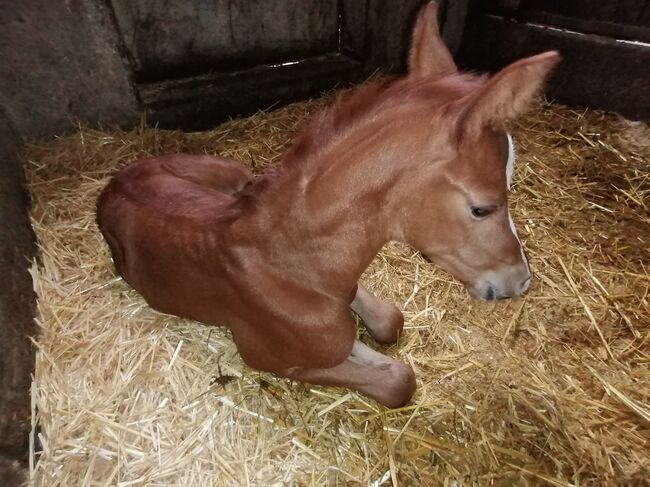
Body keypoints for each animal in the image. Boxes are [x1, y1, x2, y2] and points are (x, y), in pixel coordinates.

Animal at [97, 3, 556, 408]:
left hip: (235, 173)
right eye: (482, 207)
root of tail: (115, 181)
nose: (521, 281)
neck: (293, 265)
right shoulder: (270, 358)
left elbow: (388, 322)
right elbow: (396, 380)